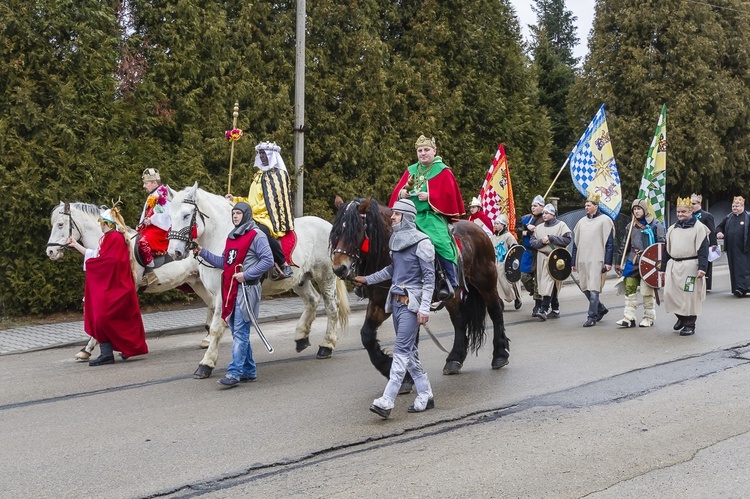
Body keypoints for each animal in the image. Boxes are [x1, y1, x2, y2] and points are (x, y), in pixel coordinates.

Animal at [46, 201, 214, 362]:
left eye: (60, 224)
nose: (50, 251)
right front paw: (87, 350)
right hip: (196, 281)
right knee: (212, 304)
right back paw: (207, 338)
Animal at [167, 184, 350, 378]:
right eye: (170, 216)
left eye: (186, 215)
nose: (174, 252)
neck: (223, 235)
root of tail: (328, 226)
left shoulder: (224, 293)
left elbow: (217, 327)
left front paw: (206, 363)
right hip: (299, 279)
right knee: (312, 300)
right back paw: (301, 337)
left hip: (325, 276)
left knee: (331, 308)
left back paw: (326, 345)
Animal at [330, 196, 512, 382]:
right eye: (336, 231)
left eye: (356, 230)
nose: (339, 268)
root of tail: (479, 230)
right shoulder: (379, 303)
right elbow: (367, 335)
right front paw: (392, 370)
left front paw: (404, 375)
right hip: (453, 294)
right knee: (459, 320)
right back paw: (455, 359)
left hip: (486, 281)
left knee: (495, 309)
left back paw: (500, 354)